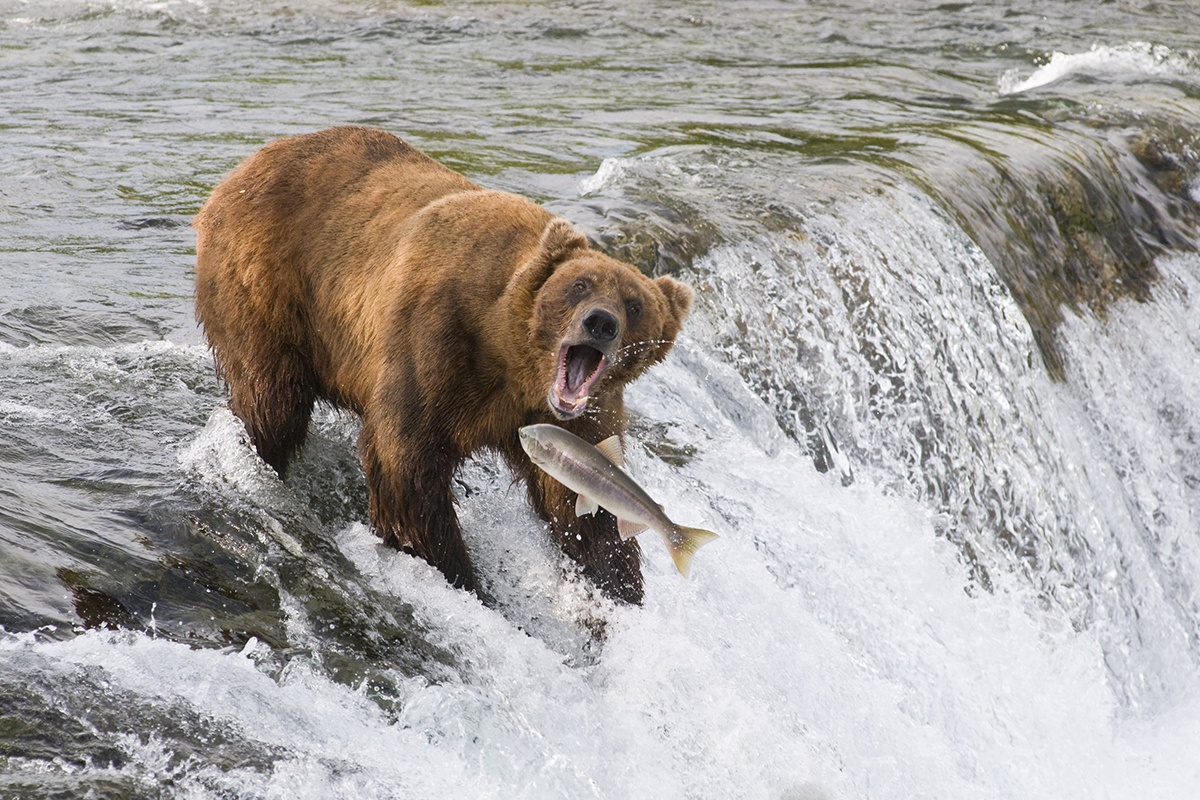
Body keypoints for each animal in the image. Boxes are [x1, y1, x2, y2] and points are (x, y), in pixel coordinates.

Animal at [194, 125, 696, 604]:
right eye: (579, 285)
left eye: (634, 304)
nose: (600, 323)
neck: (511, 355)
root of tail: (242, 168)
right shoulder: (439, 342)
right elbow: (406, 462)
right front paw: (458, 573)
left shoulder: (581, 416)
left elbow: (581, 505)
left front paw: (615, 588)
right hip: (266, 283)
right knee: (273, 404)